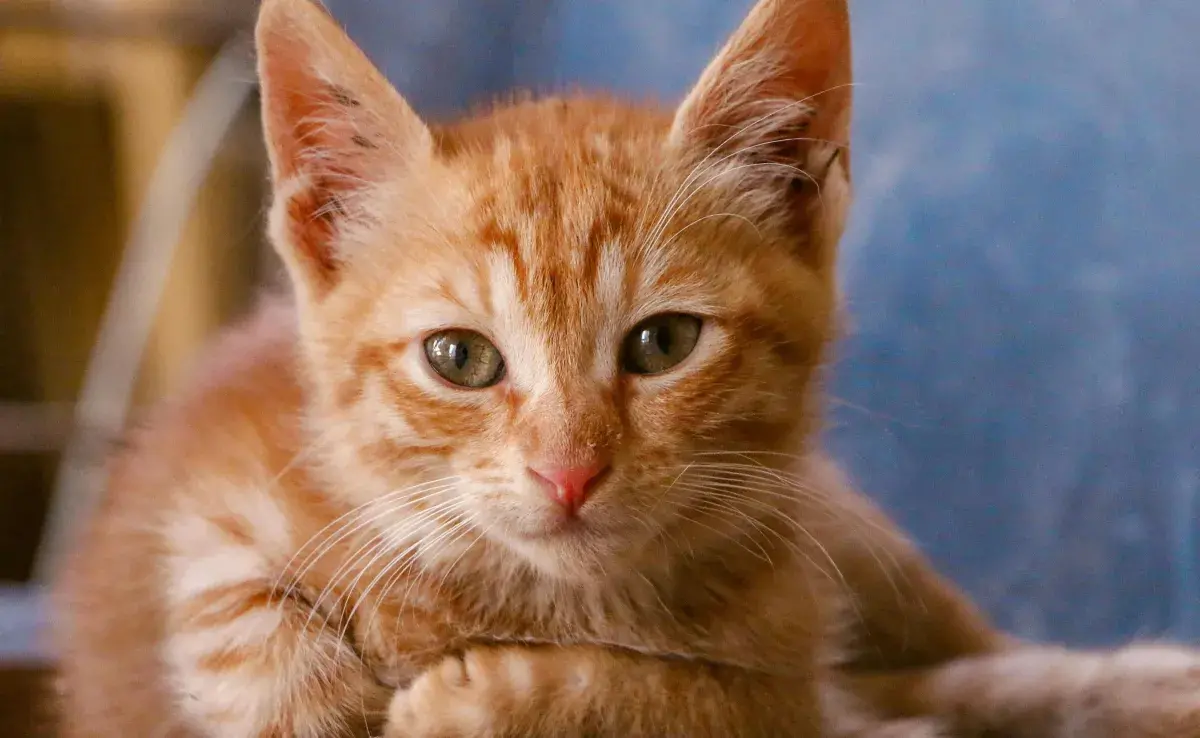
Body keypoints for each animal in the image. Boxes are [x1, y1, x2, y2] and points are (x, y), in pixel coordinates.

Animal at [54, 1, 1200, 738]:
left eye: (662, 344)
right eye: (459, 358)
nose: (567, 472)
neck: (549, 604)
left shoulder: (783, 675)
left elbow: (693, 696)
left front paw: (484, 701)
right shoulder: (201, 489)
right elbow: (237, 621)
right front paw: (321, 692)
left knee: (973, 663)